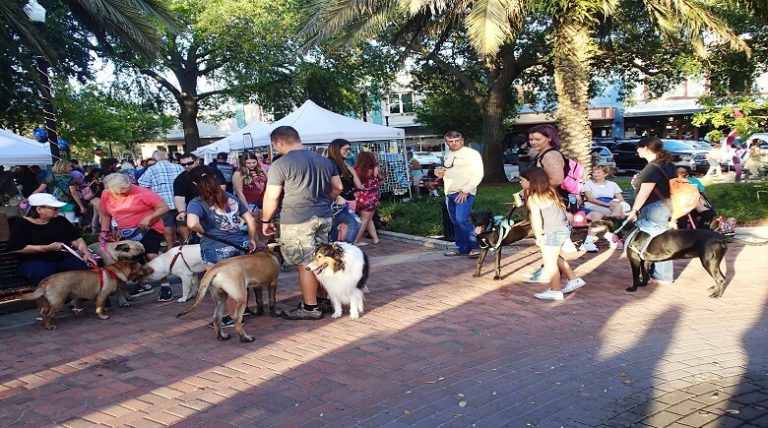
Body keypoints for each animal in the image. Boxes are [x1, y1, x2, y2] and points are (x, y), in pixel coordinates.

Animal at [19, 260, 150, 330]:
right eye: (141, 267)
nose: (147, 270)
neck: (114, 271)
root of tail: (47, 279)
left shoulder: (101, 296)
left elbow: (100, 305)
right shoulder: (102, 295)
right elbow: (99, 307)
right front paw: (102, 316)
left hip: (45, 301)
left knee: (43, 312)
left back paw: (44, 323)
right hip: (58, 301)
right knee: (48, 314)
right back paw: (50, 326)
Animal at [592, 217, 764, 298]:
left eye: (601, 220)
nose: (591, 222)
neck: (629, 231)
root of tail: (719, 236)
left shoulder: (634, 260)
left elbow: (635, 276)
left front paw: (633, 288)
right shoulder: (645, 260)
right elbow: (645, 274)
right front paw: (643, 285)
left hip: (708, 261)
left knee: (721, 278)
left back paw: (716, 295)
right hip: (714, 261)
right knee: (722, 277)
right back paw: (714, 289)